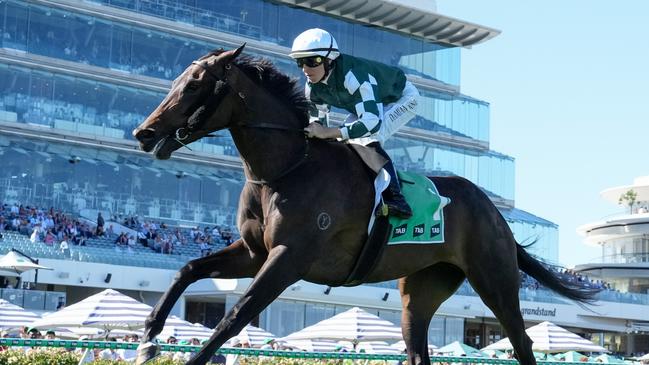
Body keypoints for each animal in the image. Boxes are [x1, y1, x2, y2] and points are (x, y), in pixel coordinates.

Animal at [132, 44, 596, 364]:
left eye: (195, 85)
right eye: (175, 80)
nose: (144, 132)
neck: (287, 167)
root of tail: (493, 211)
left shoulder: (288, 258)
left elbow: (235, 316)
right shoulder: (253, 253)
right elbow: (189, 268)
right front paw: (149, 334)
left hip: (494, 279)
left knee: (522, 340)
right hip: (422, 290)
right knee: (417, 347)